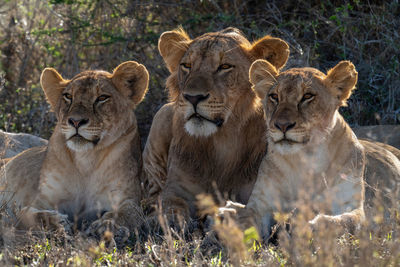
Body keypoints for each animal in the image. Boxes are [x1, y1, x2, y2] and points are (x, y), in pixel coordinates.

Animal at [0, 60, 148, 239]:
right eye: (68, 96)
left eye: (102, 98)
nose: (76, 121)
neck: (86, 160)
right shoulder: (43, 200)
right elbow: (27, 214)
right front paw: (58, 223)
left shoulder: (125, 198)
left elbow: (129, 213)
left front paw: (106, 225)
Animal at [142, 27, 290, 222]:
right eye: (186, 65)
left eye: (225, 67)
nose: (193, 97)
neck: (223, 141)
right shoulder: (177, 190)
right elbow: (170, 209)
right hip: (162, 115)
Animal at [233, 59, 400, 239]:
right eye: (274, 97)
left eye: (307, 96)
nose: (282, 125)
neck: (305, 158)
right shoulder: (259, 205)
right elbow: (244, 225)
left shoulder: (352, 207)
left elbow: (338, 222)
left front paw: (301, 227)